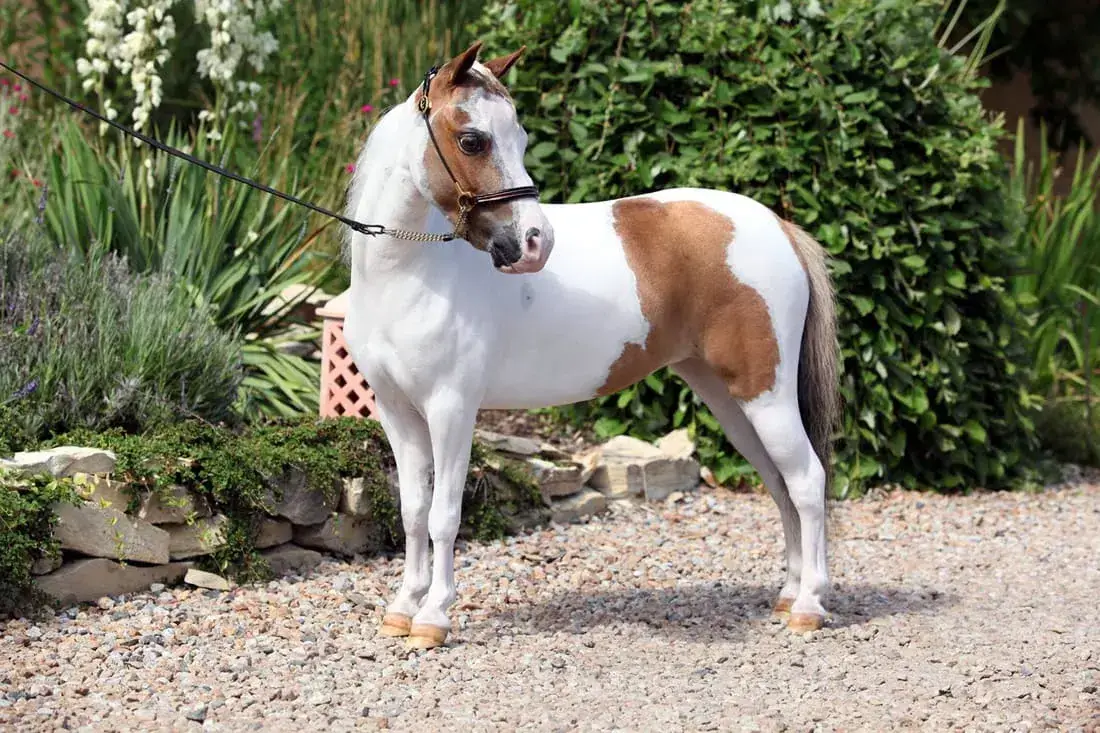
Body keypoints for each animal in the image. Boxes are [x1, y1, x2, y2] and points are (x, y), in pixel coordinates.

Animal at [342, 41, 840, 650]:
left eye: (520, 137)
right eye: (472, 139)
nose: (535, 243)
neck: (410, 273)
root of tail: (778, 227)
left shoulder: (451, 410)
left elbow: (444, 515)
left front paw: (433, 617)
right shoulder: (396, 411)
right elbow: (413, 510)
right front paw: (401, 609)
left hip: (764, 394)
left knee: (808, 481)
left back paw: (809, 606)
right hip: (730, 400)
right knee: (780, 483)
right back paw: (789, 594)